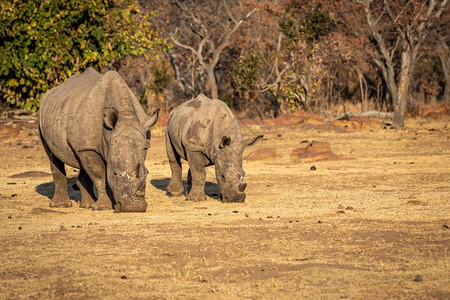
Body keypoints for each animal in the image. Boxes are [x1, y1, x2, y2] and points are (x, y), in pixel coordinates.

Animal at [38, 68, 159, 213]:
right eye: (115, 174)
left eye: (147, 173)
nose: (134, 208)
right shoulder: (89, 147)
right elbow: (100, 176)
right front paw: (103, 207)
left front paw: (111, 204)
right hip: (42, 116)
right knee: (52, 155)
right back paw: (61, 205)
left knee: (81, 161)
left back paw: (87, 205)